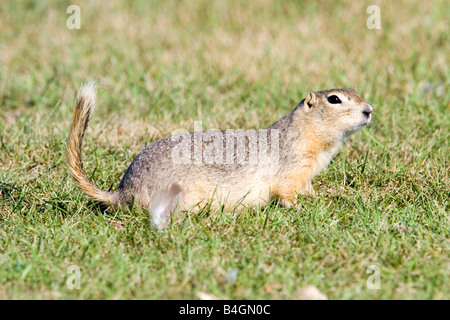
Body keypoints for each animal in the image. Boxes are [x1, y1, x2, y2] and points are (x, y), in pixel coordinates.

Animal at [67, 82, 372, 228]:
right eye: (334, 99)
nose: (369, 110)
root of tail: (123, 192)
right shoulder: (292, 168)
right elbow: (286, 193)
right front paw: (301, 208)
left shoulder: (307, 173)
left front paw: (317, 198)